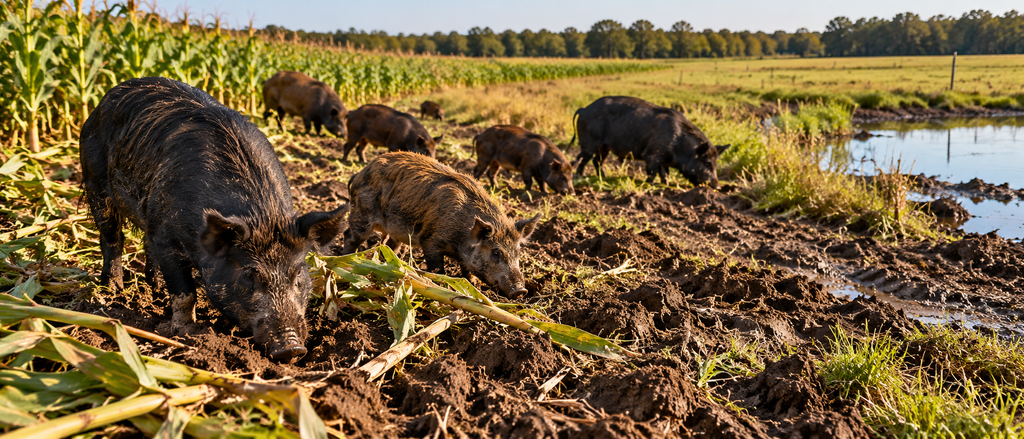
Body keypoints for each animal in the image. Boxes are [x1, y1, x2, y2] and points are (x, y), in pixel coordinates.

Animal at [81, 77, 347, 363]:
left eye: (298, 274)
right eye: (249, 275)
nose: (291, 348)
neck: (261, 218)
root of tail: (103, 102)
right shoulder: (165, 234)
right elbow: (185, 292)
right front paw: (188, 332)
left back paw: (155, 288)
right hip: (95, 183)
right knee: (111, 238)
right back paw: (113, 288)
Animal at [342, 151, 540, 298]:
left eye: (518, 253)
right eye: (496, 252)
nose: (520, 290)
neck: (461, 236)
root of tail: (359, 173)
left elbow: (467, 272)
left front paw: (473, 285)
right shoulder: (430, 240)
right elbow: (437, 267)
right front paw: (441, 285)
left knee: (390, 245)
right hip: (361, 214)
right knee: (349, 236)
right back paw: (345, 259)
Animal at [571, 96, 730, 187]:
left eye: (715, 164)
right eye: (707, 163)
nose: (718, 187)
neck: (679, 147)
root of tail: (583, 109)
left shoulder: (663, 159)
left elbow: (665, 174)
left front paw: (666, 186)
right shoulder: (652, 154)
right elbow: (652, 172)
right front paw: (650, 185)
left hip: (604, 147)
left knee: (597, 161)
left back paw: (604, 178)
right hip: (589, 142)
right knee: (581, 159)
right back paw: (581, 177)